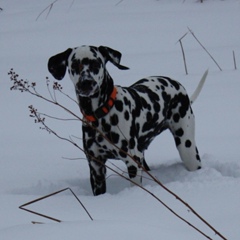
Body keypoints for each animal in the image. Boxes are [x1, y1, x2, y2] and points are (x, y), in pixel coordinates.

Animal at [47, 46, 207, 196]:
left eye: (96, 63)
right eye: (74, 65)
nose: (86, 83)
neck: (102, 115)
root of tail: (177, 85)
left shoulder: (132, 161)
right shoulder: (96, 166)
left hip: (187, 149)